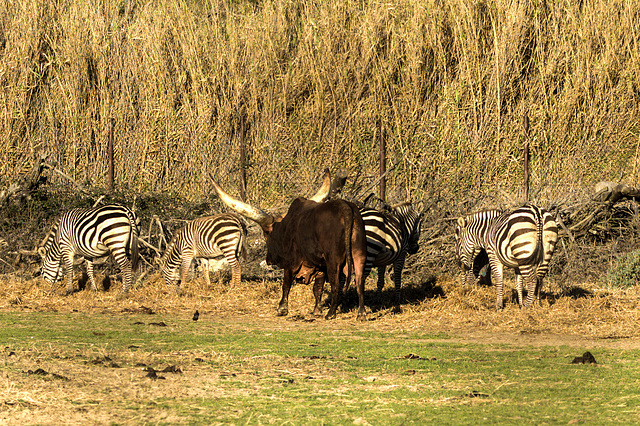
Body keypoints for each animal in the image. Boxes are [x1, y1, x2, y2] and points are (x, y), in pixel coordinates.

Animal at [212, 170, 368, 320]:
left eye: (266, 235)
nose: (269, 260)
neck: (286, 226)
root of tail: (346, 208)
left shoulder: (291, 263)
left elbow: (286, 284)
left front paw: (282, 308)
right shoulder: (319, 266)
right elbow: (317, 288)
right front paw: (316, 311)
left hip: (333, 260)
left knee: (336, 285)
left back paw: (331, 314)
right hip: (359, 254)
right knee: (360, 282)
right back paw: (361, 314)